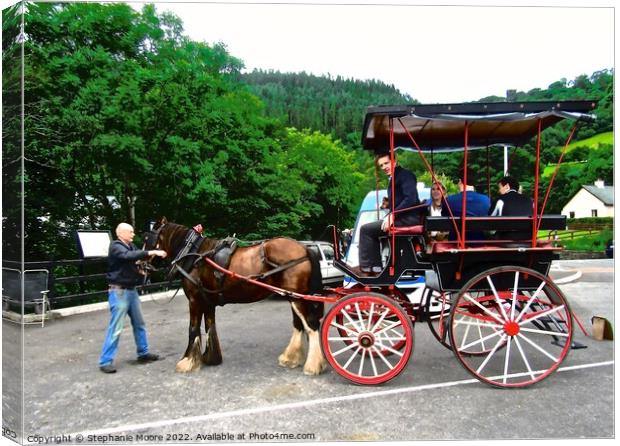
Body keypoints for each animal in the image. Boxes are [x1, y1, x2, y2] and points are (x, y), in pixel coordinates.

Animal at [145, 218, 326, 374]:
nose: (142, 265)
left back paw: (313, 366)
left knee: (311, 324)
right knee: (298, 324)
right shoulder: (207, 301)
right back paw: (291, 358)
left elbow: (193, 329)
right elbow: (209, 327)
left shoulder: (194, 300)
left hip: (297, 298)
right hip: (293, 296)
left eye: (147, 237)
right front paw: (210, 358)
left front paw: (187, 361)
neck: (194, 254)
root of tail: (304, 249)